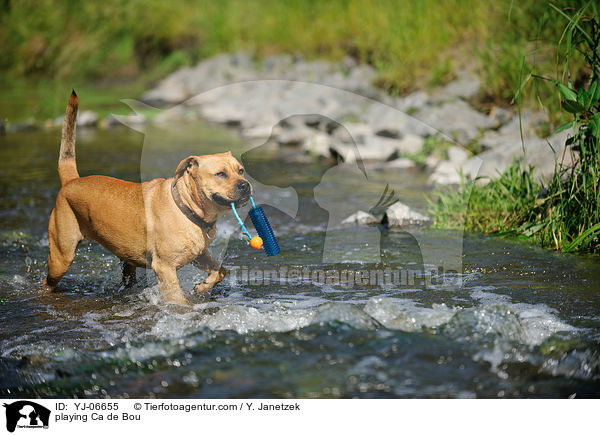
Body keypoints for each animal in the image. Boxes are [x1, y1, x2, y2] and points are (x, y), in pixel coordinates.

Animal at [43, 90, 251, 304]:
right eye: (221, 174)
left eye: (241, 171)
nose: (245, 185)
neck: (186, 207)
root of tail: (71, 180)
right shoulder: (165, 268)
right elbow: (178, 300)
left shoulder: (198, 254)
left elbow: (221, 271)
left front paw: (202, 287)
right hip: (61, 257)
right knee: (47, 281)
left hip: (126, 261)